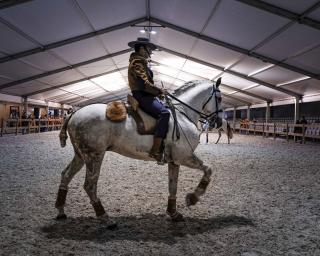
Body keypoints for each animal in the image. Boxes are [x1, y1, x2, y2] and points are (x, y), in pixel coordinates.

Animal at [54, 78, 222, 222]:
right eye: (219, 99)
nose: (219, 122)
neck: (182, 114)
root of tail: (75, 113)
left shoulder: (175, 160)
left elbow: (173, 186)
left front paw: (173, 213)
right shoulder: (184, 156)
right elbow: (209, 169)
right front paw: (193, 198)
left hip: (81, 156)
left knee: (66, 175)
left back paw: (61, 211)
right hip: (94, 156)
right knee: (90, 185)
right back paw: (105, 219)